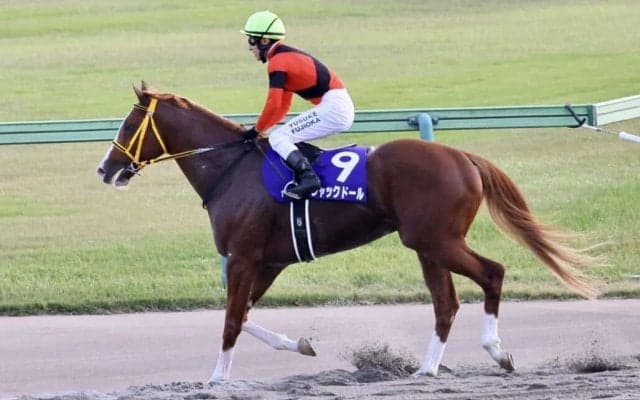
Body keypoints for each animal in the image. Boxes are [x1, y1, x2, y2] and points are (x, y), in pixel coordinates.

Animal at [97, 82, 599, 381]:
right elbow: (243, 314)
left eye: (129, 123)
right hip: (427, 245)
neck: (230, 169)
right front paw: (299, 344)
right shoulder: (267, 261)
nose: (106, 168)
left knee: (492, 273)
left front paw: (218, 378)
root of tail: (463, 157)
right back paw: (426, 370)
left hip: (436, 241)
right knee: (446, 303)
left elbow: (232, 320)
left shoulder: (243, 256)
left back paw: (495, 351)